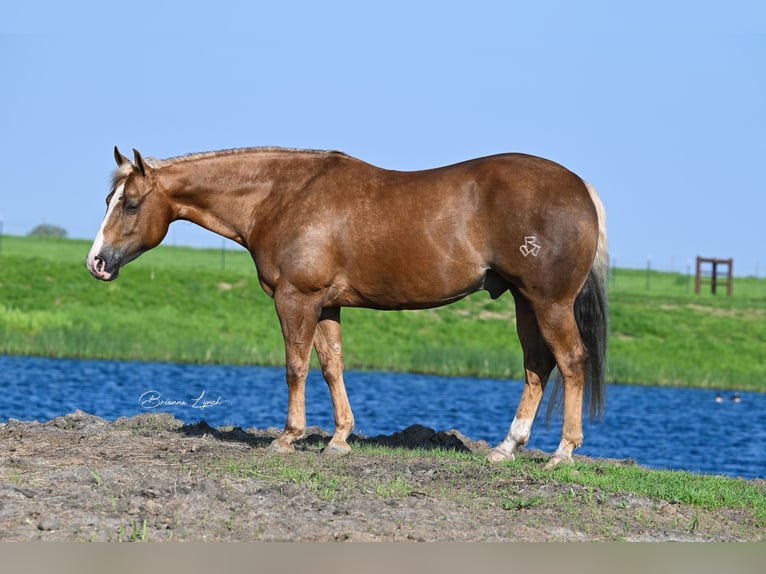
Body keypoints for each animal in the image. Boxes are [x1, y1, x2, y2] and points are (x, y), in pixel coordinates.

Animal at [87, 146, 608, 470]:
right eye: (108, 199)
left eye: (130, 204)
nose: (97, 262)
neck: (281, 196)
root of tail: (581, 187)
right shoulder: (326, 306)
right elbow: (331, 366)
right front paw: (339, 440)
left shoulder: (296, 299)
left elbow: (295, 366)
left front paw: (288, 437)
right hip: (524, 301)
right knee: (537, 365)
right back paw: (506, 448)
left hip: (548, 302)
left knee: (571, 361)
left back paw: (563, 453)